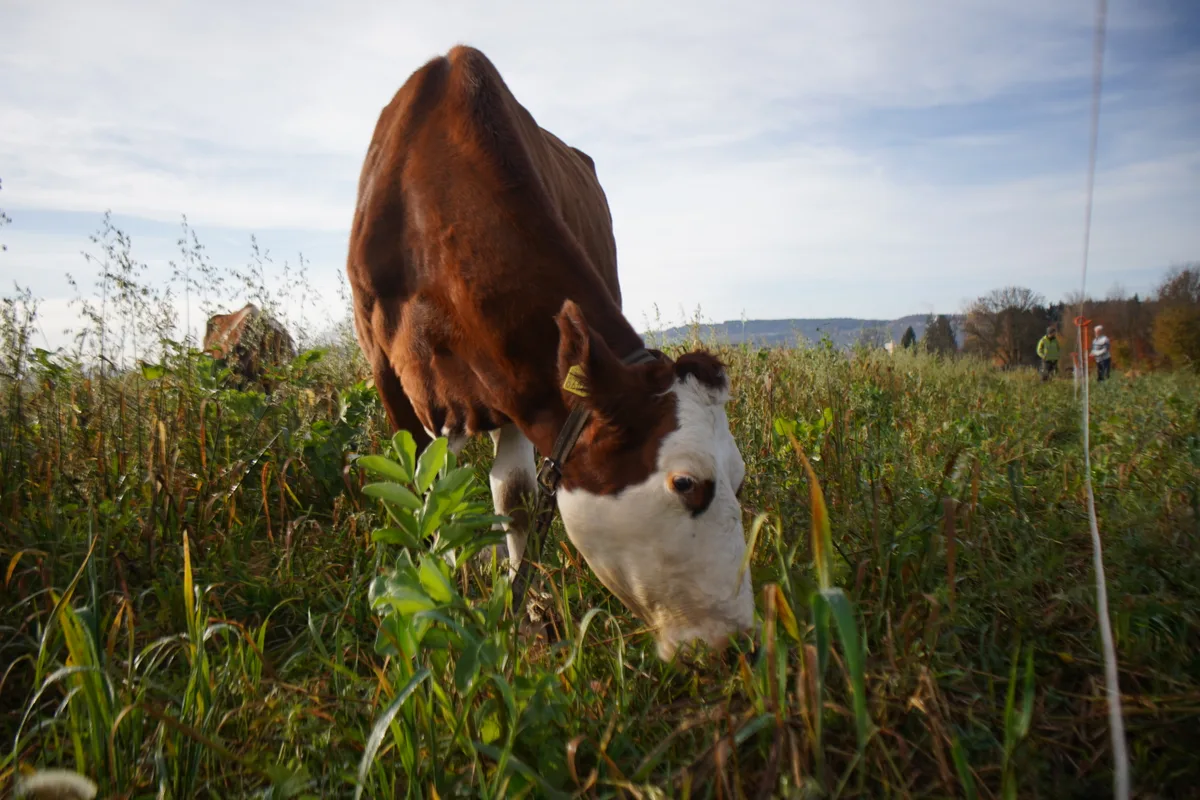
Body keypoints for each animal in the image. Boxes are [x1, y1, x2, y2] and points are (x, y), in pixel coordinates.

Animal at [346, 45, 753, 660]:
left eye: (740, 479)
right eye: (686, 484)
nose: (739, 642)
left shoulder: (519, 378)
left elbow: (514, 494)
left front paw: (525, 619)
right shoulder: (387, 369)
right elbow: (423, 489)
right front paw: (441, 600)